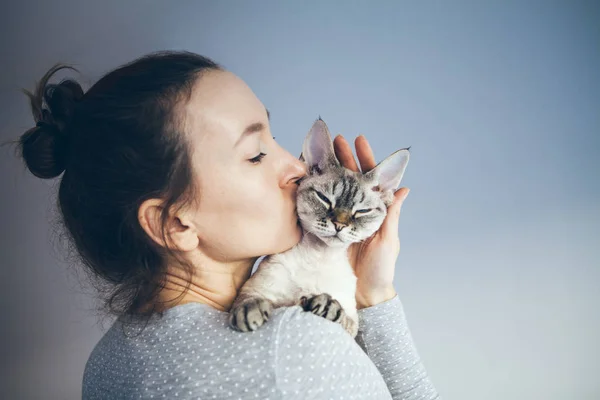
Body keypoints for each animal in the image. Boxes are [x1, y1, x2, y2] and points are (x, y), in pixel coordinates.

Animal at [227, 118, 410, 338]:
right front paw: (250, 311)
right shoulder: (258, 288)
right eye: (324, 199)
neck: (318, 256)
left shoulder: (352, 327)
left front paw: (325, 305)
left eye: (362, 211)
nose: (339, 224)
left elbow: (341, 315)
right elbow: (250, 298)